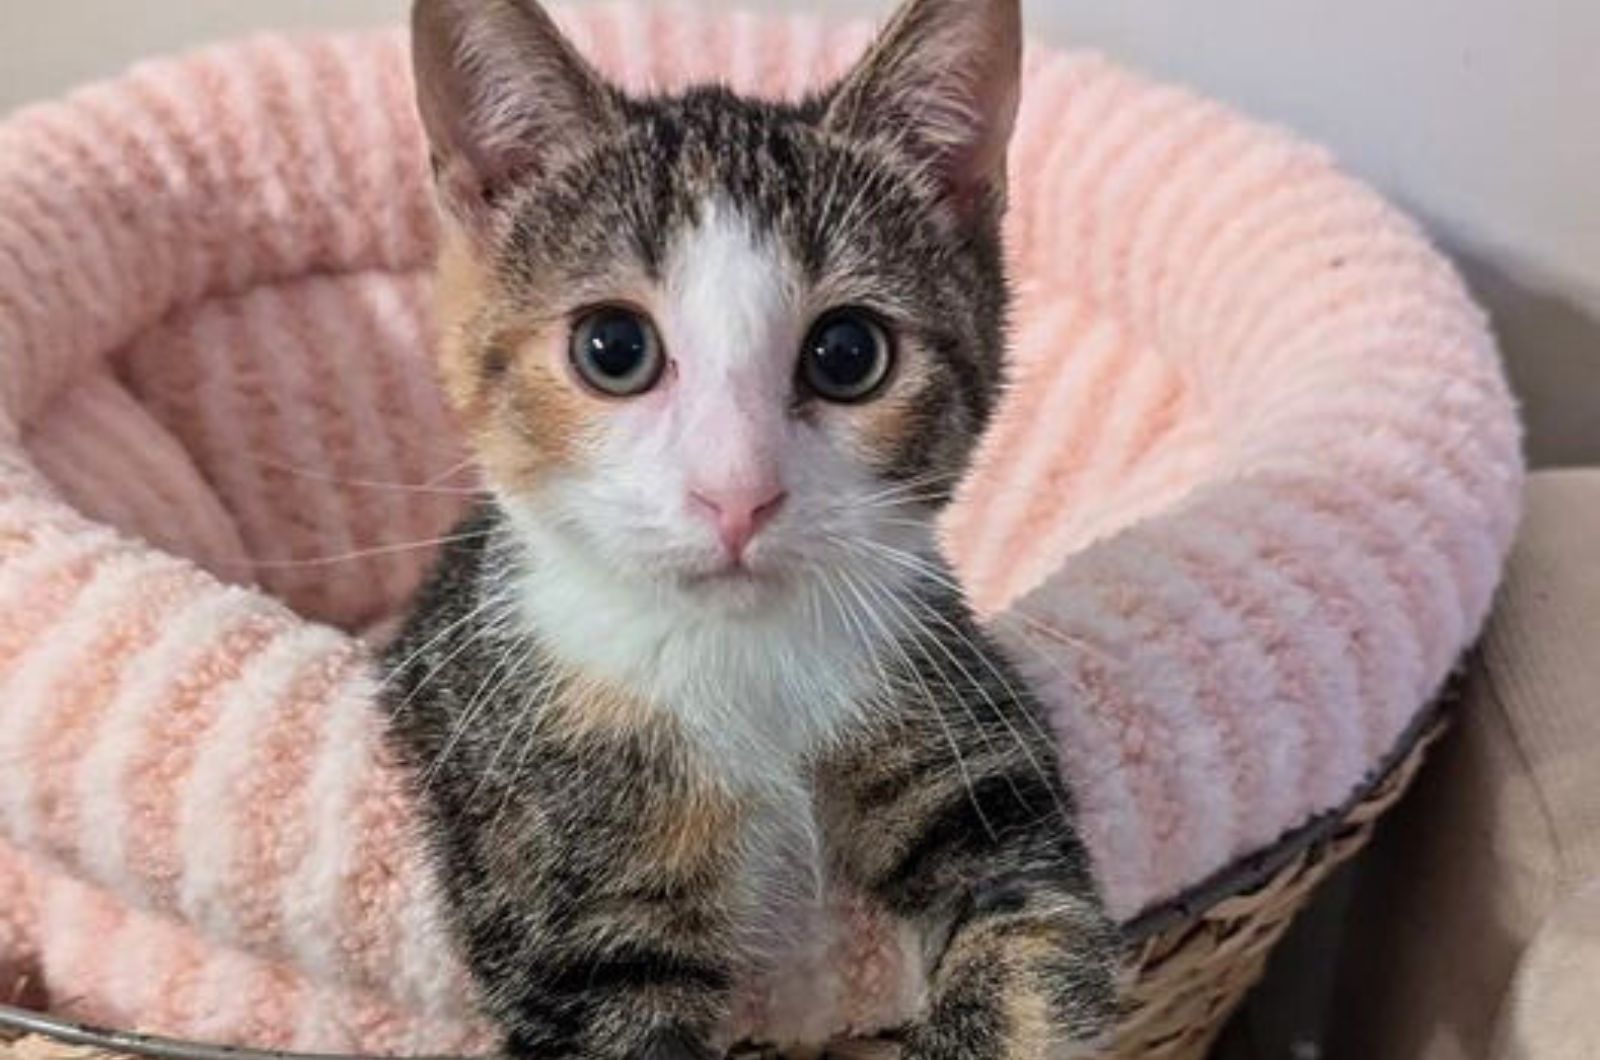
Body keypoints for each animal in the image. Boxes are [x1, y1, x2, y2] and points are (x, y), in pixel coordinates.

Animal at [380, 0, 1120, 1056]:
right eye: (613, 347)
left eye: (848, 353)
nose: (739, 495)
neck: (741, 656)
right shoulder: (559, 902)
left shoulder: (976, 754)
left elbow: (1031, 940)